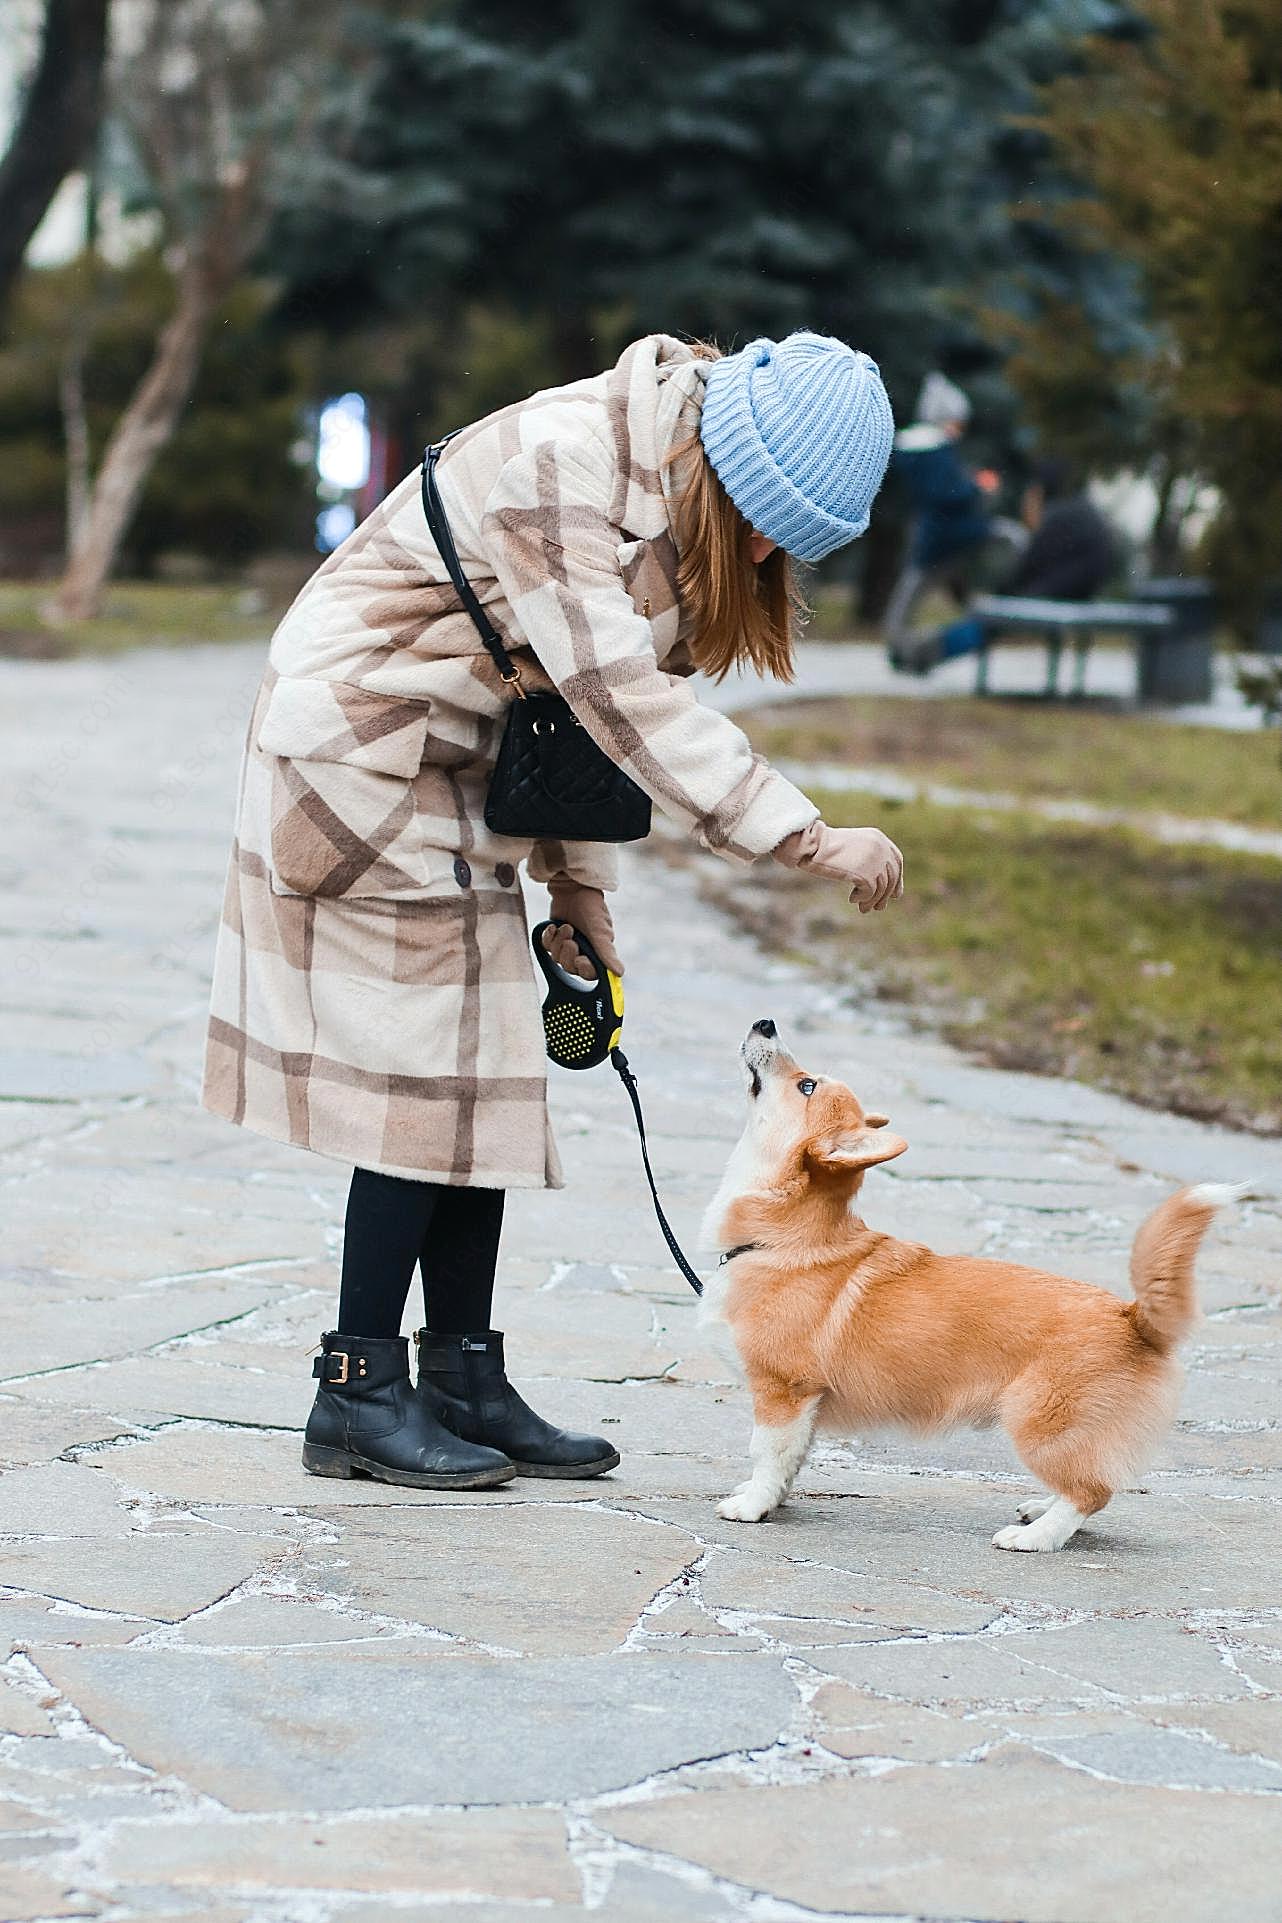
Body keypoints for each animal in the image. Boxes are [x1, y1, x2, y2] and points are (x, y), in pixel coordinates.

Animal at [703, 1023, 1245, 1546]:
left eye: (806, 1085)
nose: (766, 1023)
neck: (787, 1236)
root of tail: (1133, 1318)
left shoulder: (782, 1393)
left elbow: (767, 1452)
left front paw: (751, 1507)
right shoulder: (805, 1406)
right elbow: (791, 1460)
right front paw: (772, 1500)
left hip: (1037, 1423)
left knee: (1091, 1492)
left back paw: (1034, 1537)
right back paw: (1039, 1510)